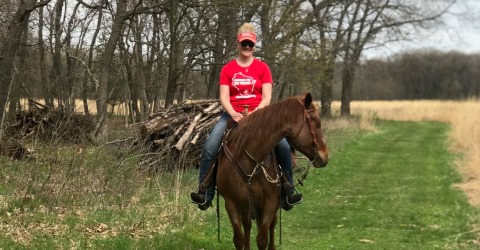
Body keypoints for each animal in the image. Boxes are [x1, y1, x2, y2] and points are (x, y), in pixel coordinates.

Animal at [216, 93, 328, 249]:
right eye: (317, 122)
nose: (325, 156)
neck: (248, 158)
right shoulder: (231, 202)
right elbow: (238, 238)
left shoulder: (269, 202)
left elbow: (263, 239)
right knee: (247, 225)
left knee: (272, 225)